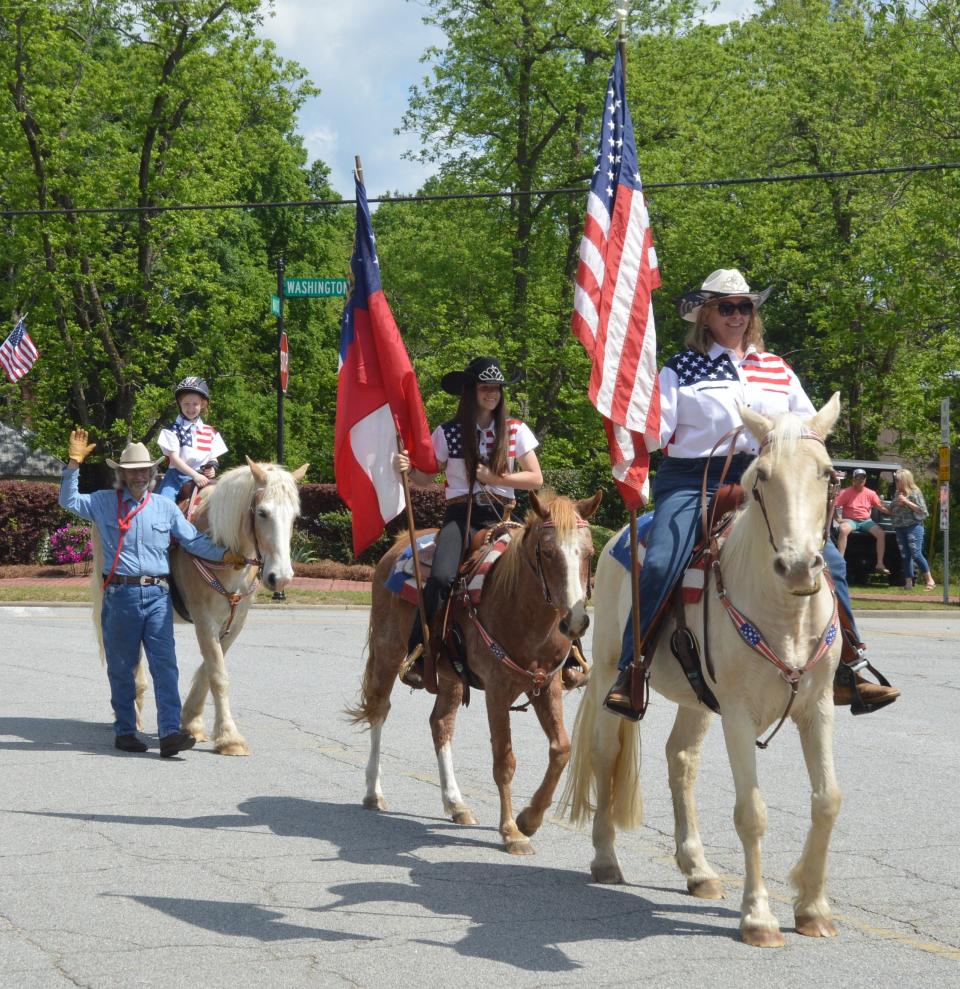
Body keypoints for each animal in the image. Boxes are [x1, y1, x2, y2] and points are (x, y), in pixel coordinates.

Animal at [91, 460, 306, 752]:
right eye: (262, 513)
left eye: (294, 516)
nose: (280, 577)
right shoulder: (204, 619)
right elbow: (218, 676)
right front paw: (229, 738)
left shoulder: (233, 623)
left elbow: (209, 670)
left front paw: (192, 723)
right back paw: (131, 720)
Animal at [344, 490, 600, 852]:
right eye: (549, 553)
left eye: (589, 554)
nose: (575, 622)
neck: (519, 609)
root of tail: (398, 543)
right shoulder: (497, 690)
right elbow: (504, 761)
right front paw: (511, 831)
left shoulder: (546, 686)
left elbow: (561, 750)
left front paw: (530, 818)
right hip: (388, 652)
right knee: (379, 710)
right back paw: (373, 792)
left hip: (449, 674)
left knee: (441, 724)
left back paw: (456, 804)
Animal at [560, 392, 844, 940]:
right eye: (762, 478)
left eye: (827, 474)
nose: (799, 567)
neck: (784, 613)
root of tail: (617, 538)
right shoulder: (737, 714)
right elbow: (751, 812)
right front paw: (759, 917)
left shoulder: (817, 708)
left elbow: (827, 800)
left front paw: (813, 908)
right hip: (606, 675)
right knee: (606, 756)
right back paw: (606, 859)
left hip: (696, 700)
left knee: (681, 760)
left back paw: (698, 870)